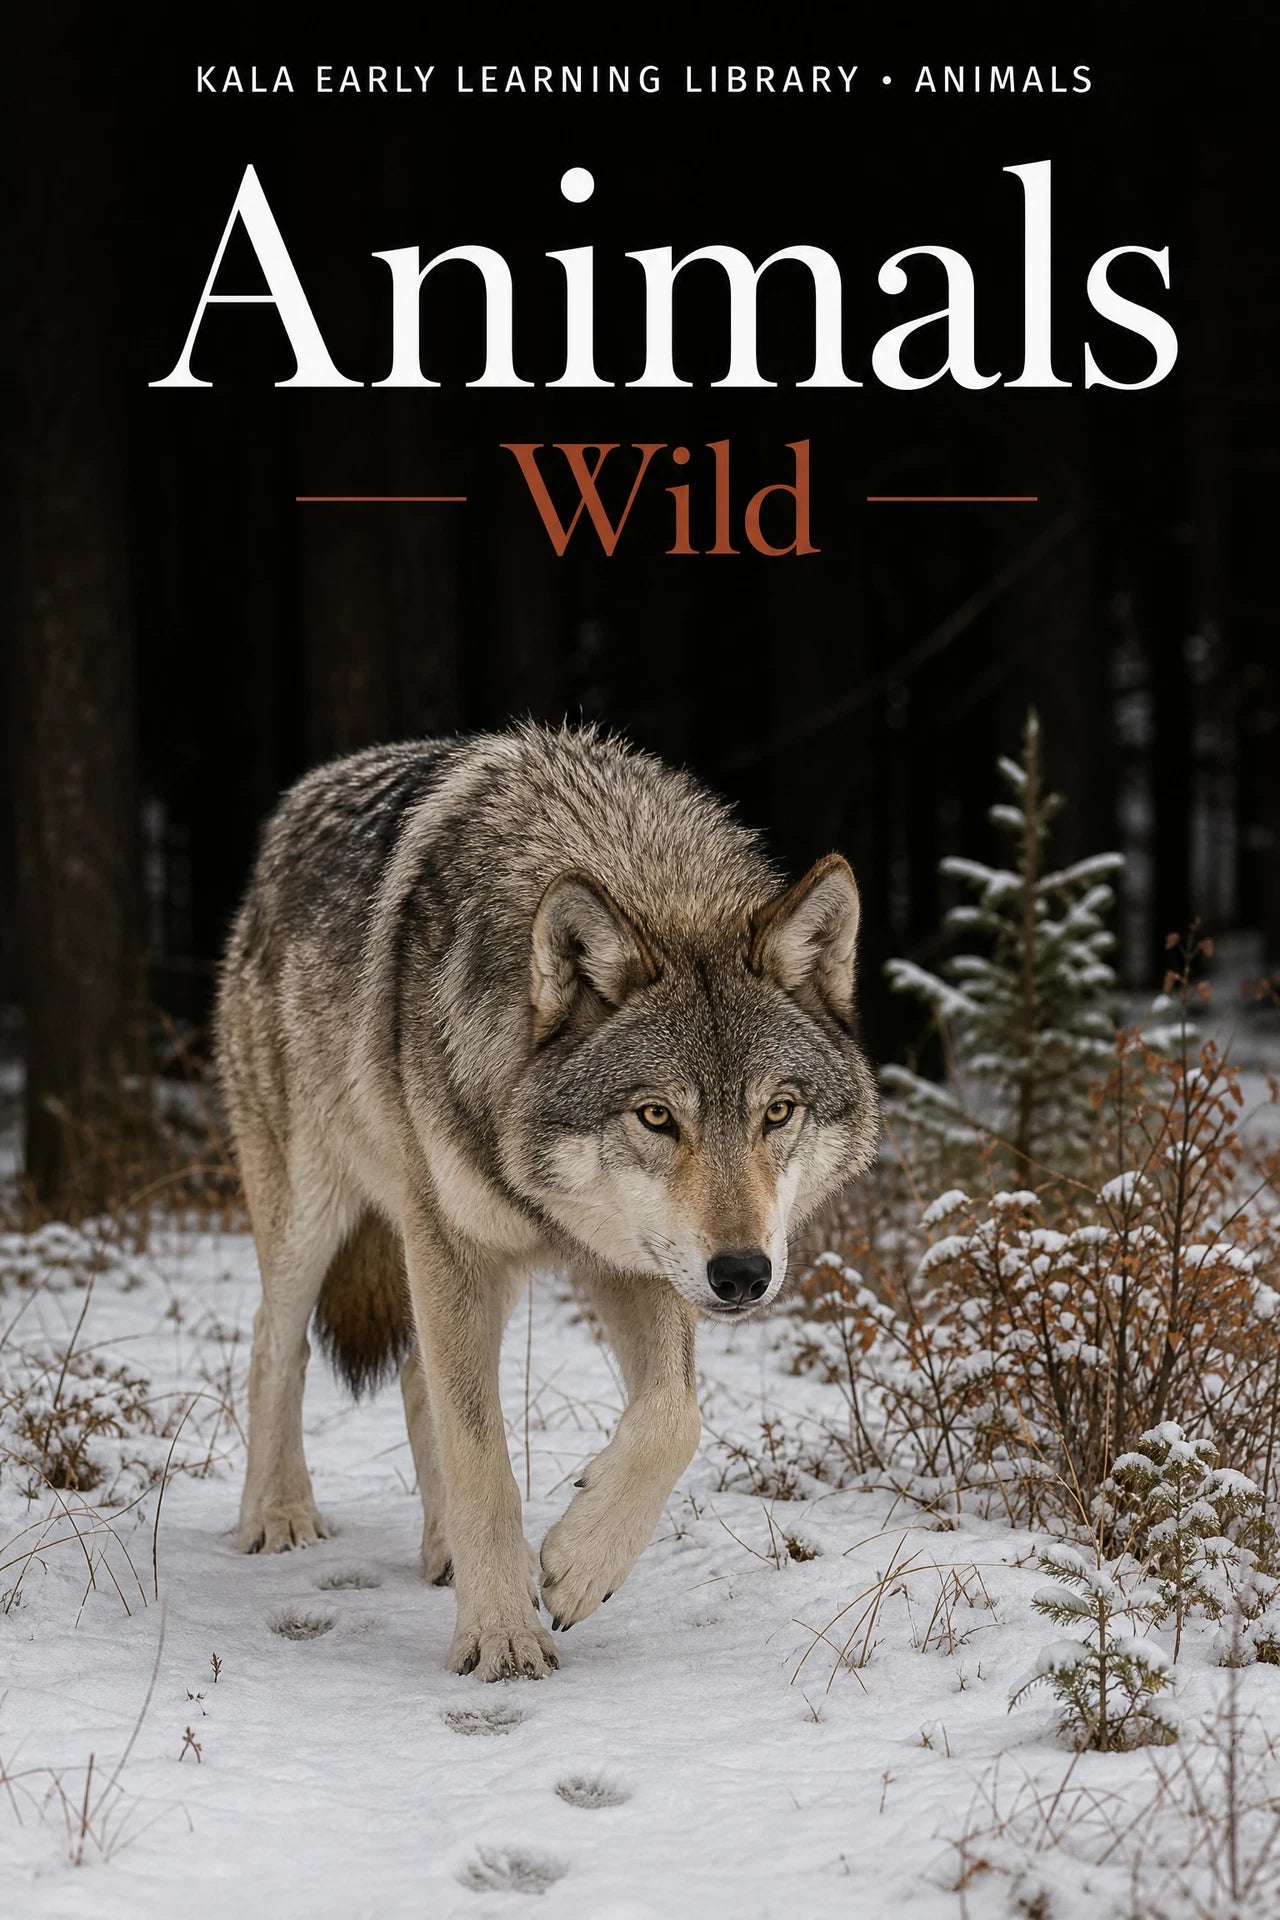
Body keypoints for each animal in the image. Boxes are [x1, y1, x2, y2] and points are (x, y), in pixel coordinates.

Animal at [215, 723, 877, 1680]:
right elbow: (483, 1457)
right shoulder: (451, 1242)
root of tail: (290, 816)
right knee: (279, 1341)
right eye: (656, 1116)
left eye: (777, 1112)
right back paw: (278, 1514)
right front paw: (501, 1637)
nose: (744, 1275)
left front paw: (577, 1563)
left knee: (414, 1370)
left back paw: (442, 1551)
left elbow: (675, 1417)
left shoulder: (636, 1261)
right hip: (320, 1214)